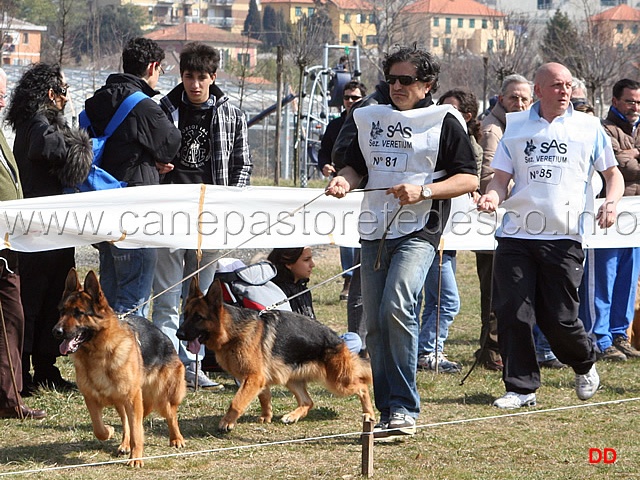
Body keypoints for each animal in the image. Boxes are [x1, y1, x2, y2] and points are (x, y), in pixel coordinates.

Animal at [53, 270, 186, 468]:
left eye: (79, 313)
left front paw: (136, 457)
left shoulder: (132, 398)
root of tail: (164, 336)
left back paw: (176, 438)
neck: (98, 354)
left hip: (160, 395)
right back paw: (125, 444)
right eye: (62, 311)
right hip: (122, 401)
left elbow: (137, 431)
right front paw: (109, 431)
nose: (56, 331)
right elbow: (99, 429)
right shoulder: (91, 398)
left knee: (170, 414)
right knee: (127, 423)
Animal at [175, 278, 376, 432]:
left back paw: (369, 413)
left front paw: (227, 422)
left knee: (362, 386)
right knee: (308, 401)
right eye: (185, 314)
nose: (178, 334)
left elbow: (237, 402)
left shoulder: (253, 378)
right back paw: (292, 416)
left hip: (338, 382)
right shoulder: (258, 379)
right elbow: (264, 397)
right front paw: (266, 417)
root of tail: (338, 339)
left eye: (198, 317)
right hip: (291, 378)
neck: (232, 332)